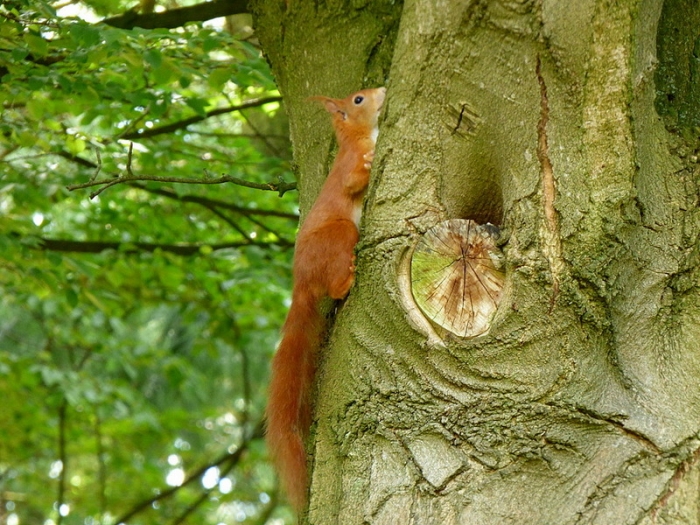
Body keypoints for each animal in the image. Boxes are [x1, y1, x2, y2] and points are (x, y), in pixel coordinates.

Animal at [265, 87, 386, 511]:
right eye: (358, 99)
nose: (383, 90)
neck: (359, 137)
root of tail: (303, 280)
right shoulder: (347, 166)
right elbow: (352, 181)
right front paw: (369, 163)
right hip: (340, 235)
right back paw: (345, 282)